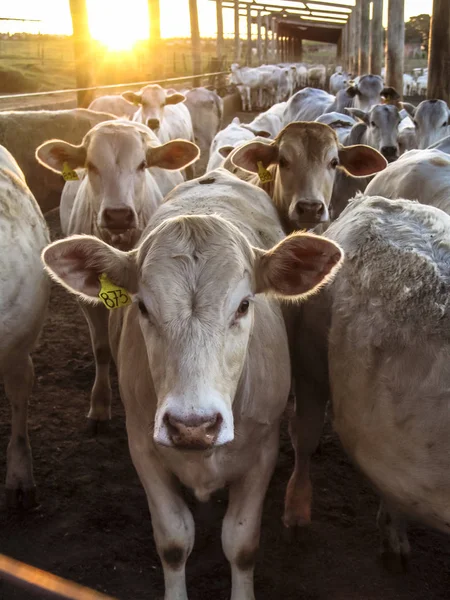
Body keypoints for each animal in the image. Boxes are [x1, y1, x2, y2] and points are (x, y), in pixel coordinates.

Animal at [43, 168, 344, 600]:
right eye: (142, 306)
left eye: (244, 305)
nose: (192, 425)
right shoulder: (143, 448)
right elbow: (173, 541)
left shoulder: (262, 452)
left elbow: (242, 545)